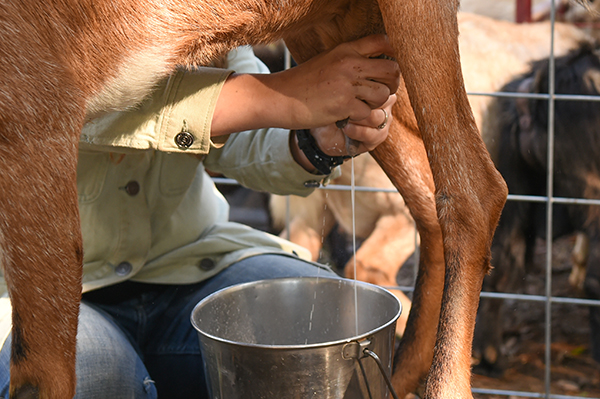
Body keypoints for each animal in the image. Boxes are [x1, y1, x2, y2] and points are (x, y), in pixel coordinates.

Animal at [0, 0, 508, 399]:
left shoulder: (39, 112)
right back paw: (400, 377)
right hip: (344, 29)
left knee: (475, 189)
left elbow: (40, 371)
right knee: (426, 200)